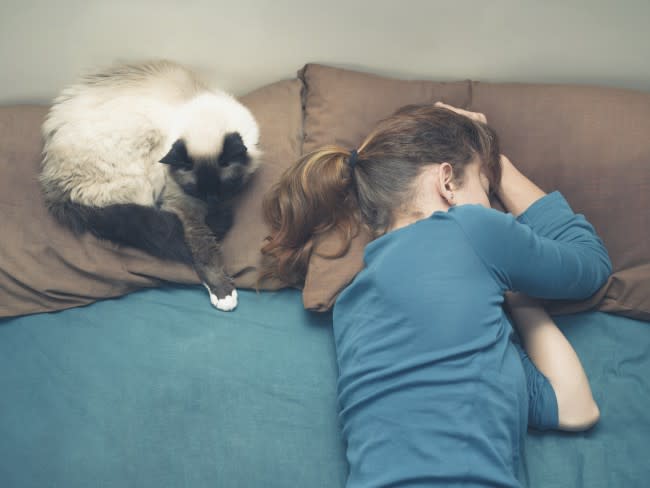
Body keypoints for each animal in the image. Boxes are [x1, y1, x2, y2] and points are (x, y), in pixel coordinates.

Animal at [38, 61, 260, 310]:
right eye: (195, 189)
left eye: (225, 186)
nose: (212, 203)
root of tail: (53, 186)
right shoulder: (182, 204)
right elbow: (203, 249)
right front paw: (223, 294)